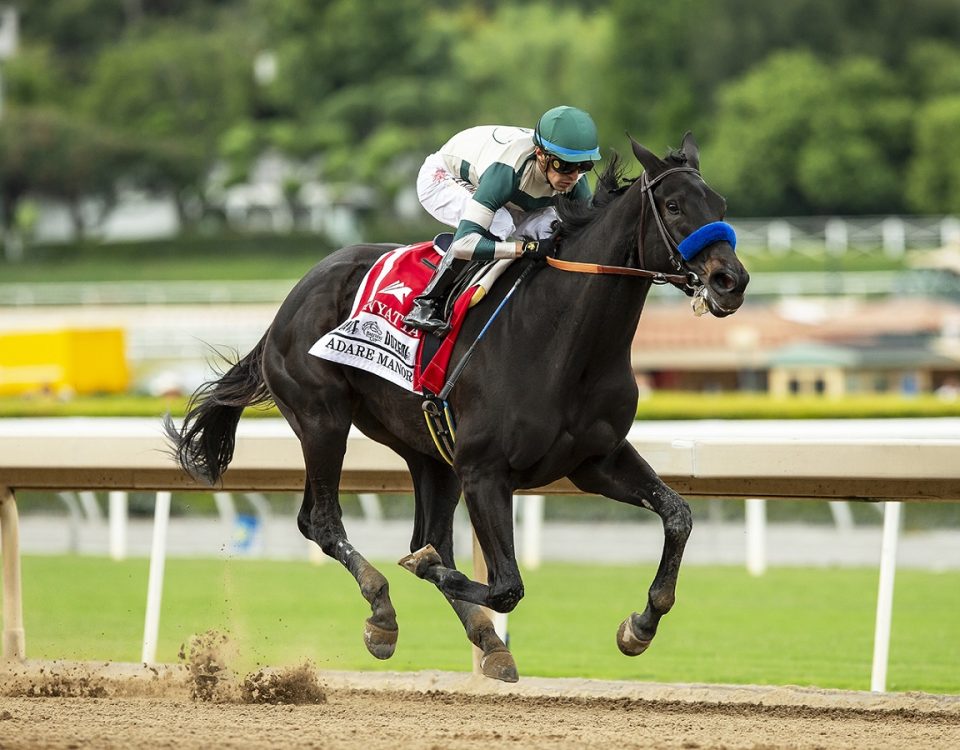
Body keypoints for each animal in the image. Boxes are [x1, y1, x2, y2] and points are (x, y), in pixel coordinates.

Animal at [165, 132, 752, 684]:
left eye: (720, 205)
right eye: (673, 206)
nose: (732, 281)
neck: (562, 340)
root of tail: (292, 297)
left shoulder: (594, 460)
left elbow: (677, 516)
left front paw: (640, 626)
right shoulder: (485, 471)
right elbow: (507, 584)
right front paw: (423, 578)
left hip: (429, 452)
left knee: (429, 536)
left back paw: (486, 642)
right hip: (322, 419)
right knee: (322, 522)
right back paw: (383, 613)